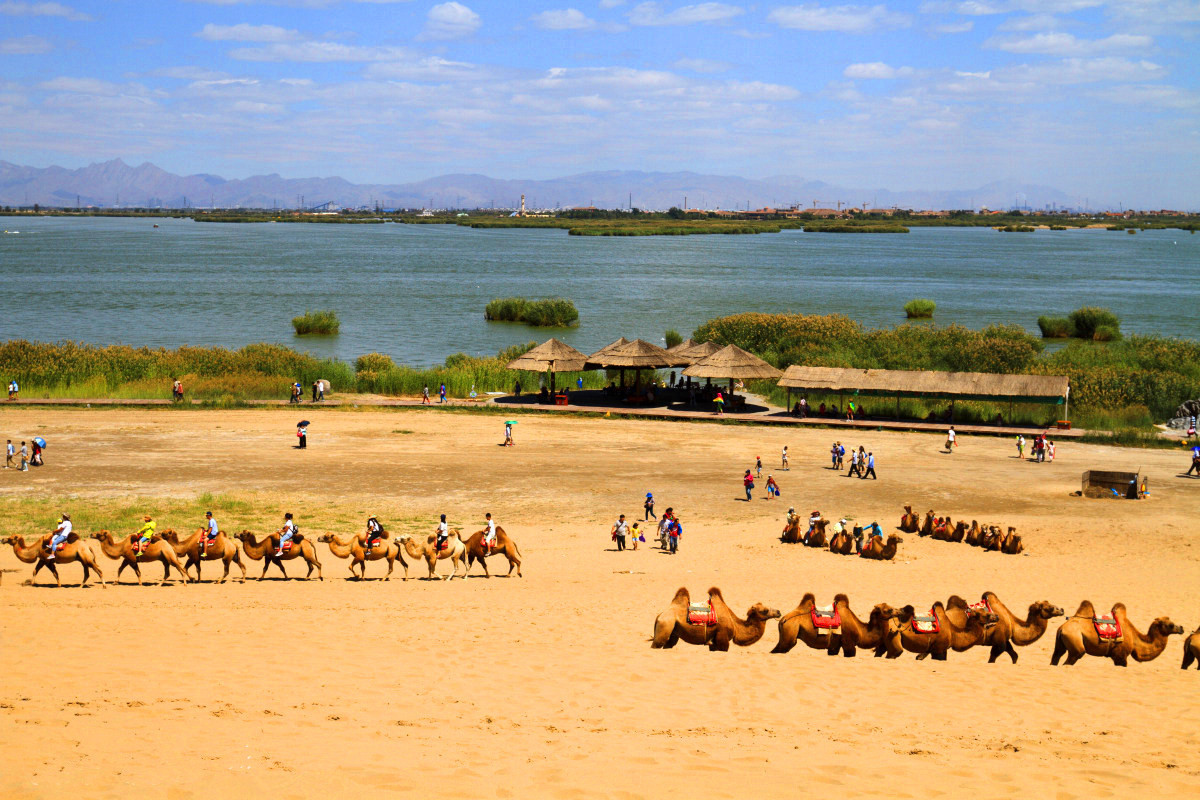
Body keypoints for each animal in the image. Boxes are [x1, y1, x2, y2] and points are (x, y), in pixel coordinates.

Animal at [652, 585, 782, 652]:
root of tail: (659, 615)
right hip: (665, 625)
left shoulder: (714, 643)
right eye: (765, 610)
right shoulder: (723, 640)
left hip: (673, 632)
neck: (735, 625)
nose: (778, 612)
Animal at [1051, 599, 1180, 671]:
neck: (1133, 636)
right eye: (1171, 625)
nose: (1181, 628)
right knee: (1072, 658)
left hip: (1060, 644)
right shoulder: (1120, 656)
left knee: (1056, 657)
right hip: (1076, 645)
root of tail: (1062, 628)